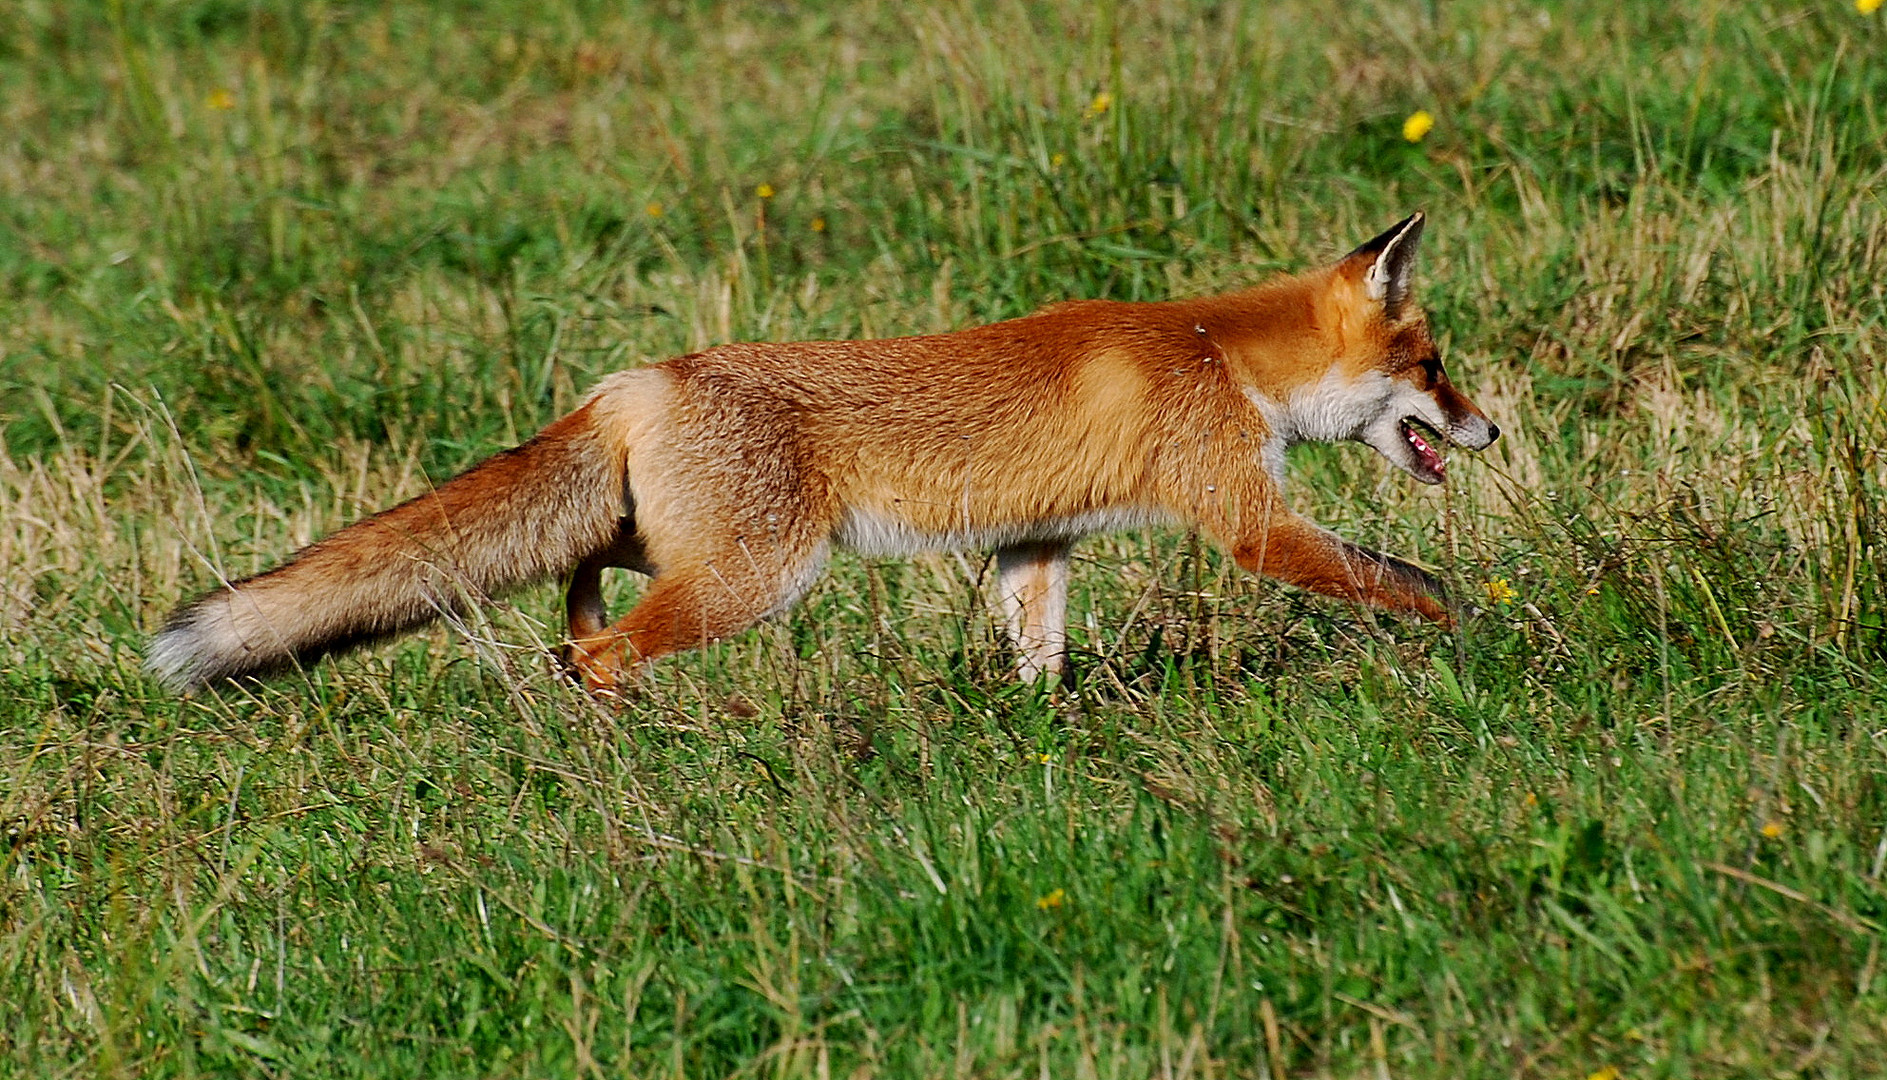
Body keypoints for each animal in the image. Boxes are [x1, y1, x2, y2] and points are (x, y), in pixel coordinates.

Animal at [149, 212, 1498, 695]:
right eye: (1436, 366)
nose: (1491, 428)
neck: (1221, 353)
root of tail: (636, 380)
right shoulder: (1249, 521)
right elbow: (1401, 579)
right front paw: (1485, 631)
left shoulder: (1035, 545)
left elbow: (1039, 659)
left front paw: (1041, 743)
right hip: (760, 576)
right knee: (605, 652)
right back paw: (642, 741)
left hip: (688, 548)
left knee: (580, 587)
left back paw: (582, 650)